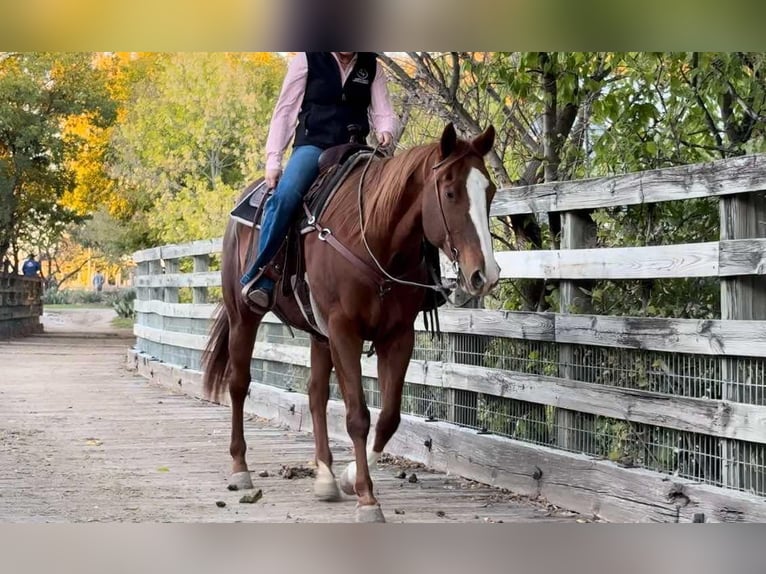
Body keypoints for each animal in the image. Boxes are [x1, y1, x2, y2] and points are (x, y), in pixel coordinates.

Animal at [201, 122, 501, 522]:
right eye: (450, 192)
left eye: (490, 191)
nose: (486, 273)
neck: (375, 239)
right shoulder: (345, 331)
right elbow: (358, 415)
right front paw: (367, 498)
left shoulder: (397, 336)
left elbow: (388, 417)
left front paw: (348, 478)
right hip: (243, 315)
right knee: (238, 383)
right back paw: (240, 468)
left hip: (319, 335)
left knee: (315, 394)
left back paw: (325, 476)